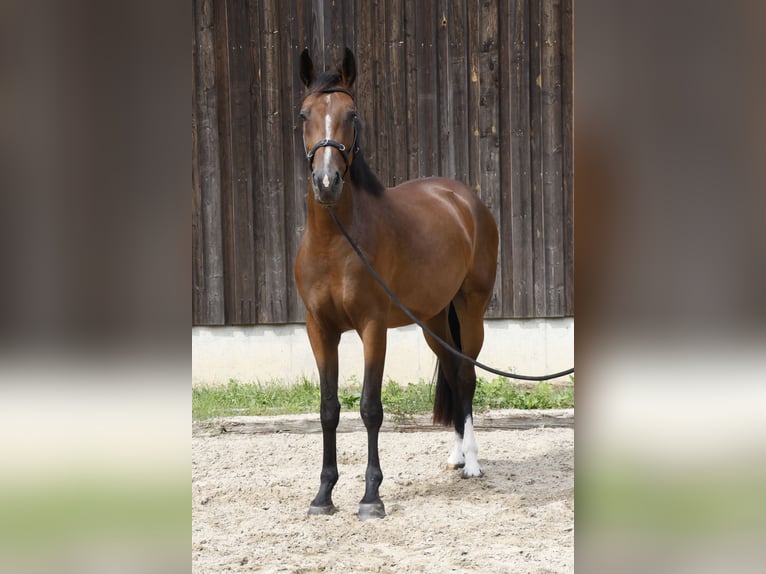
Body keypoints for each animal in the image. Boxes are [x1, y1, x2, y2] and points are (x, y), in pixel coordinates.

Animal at [292, 49, 498, 520]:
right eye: (303, 116)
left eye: (351, 115)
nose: (327, 183)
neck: (334, 242)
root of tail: (463, 200)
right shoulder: (319, 329)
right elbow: (328, 408)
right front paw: (323, 494)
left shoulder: (373, 328)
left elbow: (370, 408)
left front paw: (371, 497)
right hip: (434, 321)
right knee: (452, 371)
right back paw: (455, 456)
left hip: (471, 312)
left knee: (465, 376)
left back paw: (472, 463)